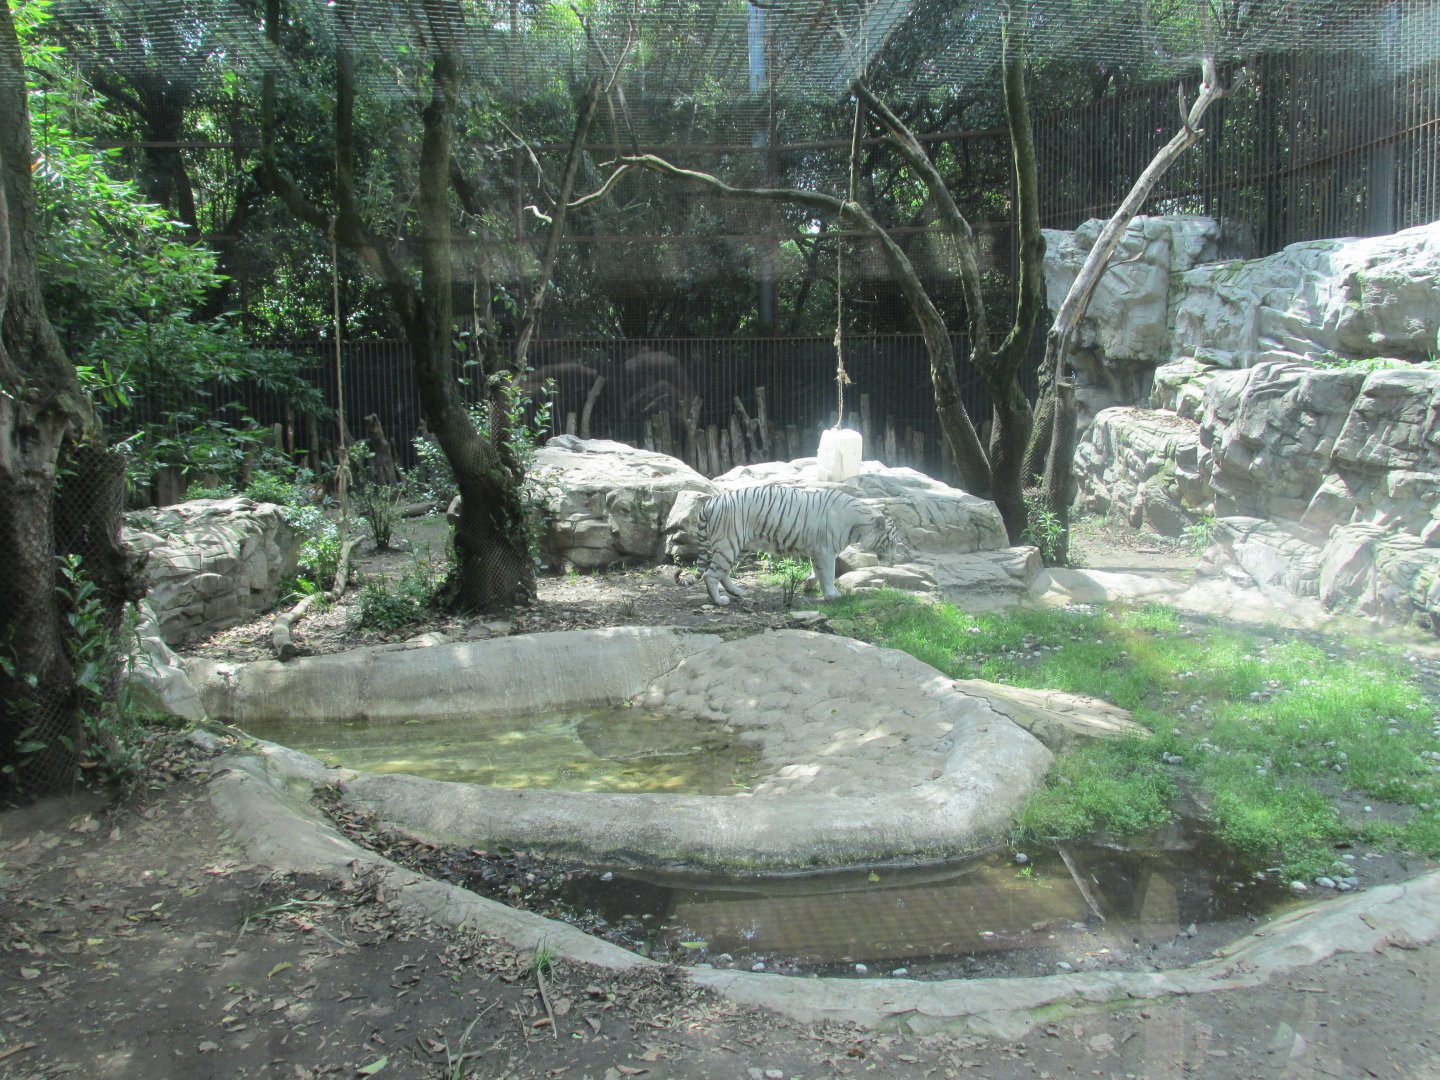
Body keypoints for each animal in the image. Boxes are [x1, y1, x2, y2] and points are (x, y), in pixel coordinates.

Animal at [694, 484, 907, 606]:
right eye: (891, 542)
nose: (893, 562)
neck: (859, 523)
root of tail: (712, 502)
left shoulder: (817, 551)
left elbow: (817, 571)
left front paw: (808, 584)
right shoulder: (826, 551)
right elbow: (828, 573)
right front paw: (832, 595)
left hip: (740, 546)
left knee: (723, 572)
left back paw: (736, 591)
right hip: (729, 543)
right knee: (710, 574)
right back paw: (719, 601)